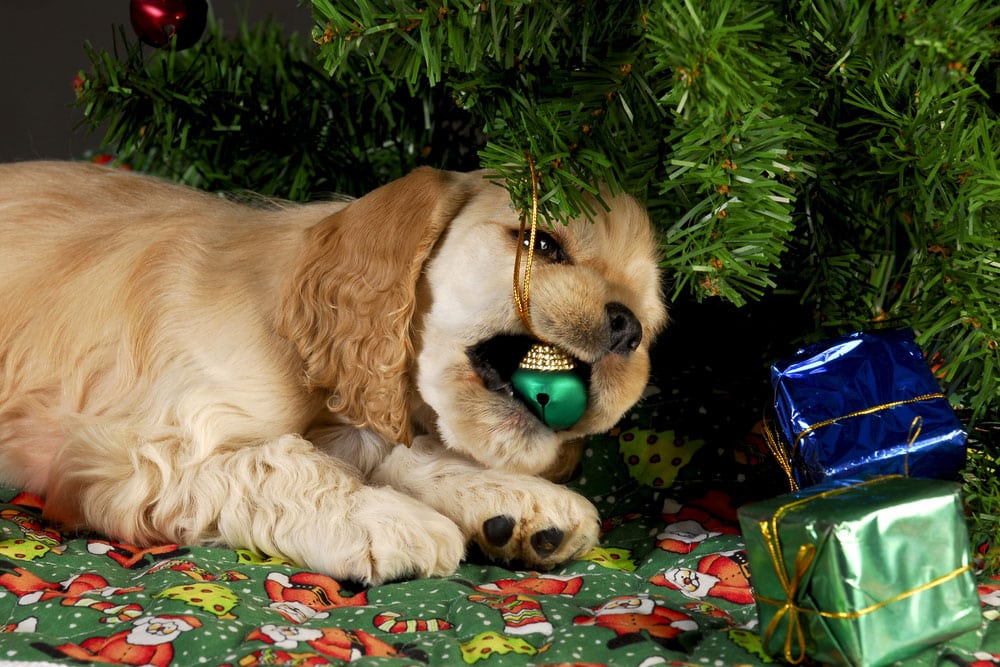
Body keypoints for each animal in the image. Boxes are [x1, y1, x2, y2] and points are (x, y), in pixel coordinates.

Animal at [3, 162, 668, 584]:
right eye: (542, 244)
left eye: (651, 317)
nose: (627, 327)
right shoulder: (129, 455)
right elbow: (279, 463)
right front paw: (387, 520)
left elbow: (389, 449)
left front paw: (517, 502)